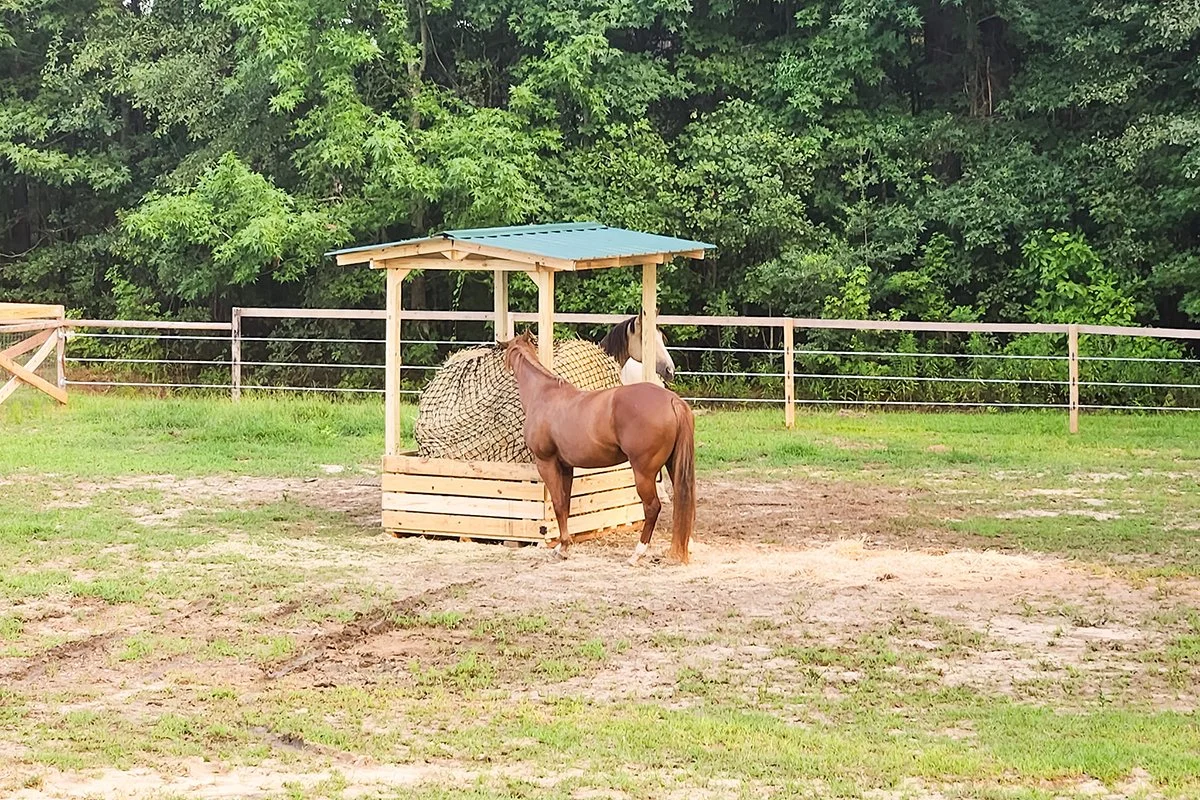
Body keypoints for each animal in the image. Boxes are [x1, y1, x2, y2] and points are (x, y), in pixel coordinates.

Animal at [501, 331, 696, 565]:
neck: (544, 394)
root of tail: (673, 400)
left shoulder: (546, 463)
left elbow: (557, 503)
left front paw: (562, 548)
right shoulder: (566, 467)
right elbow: (565, 505)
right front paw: (563, 546)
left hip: (644, 473)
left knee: (652, 507)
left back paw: (637, 554)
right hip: (673, 465)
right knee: (683, 501)